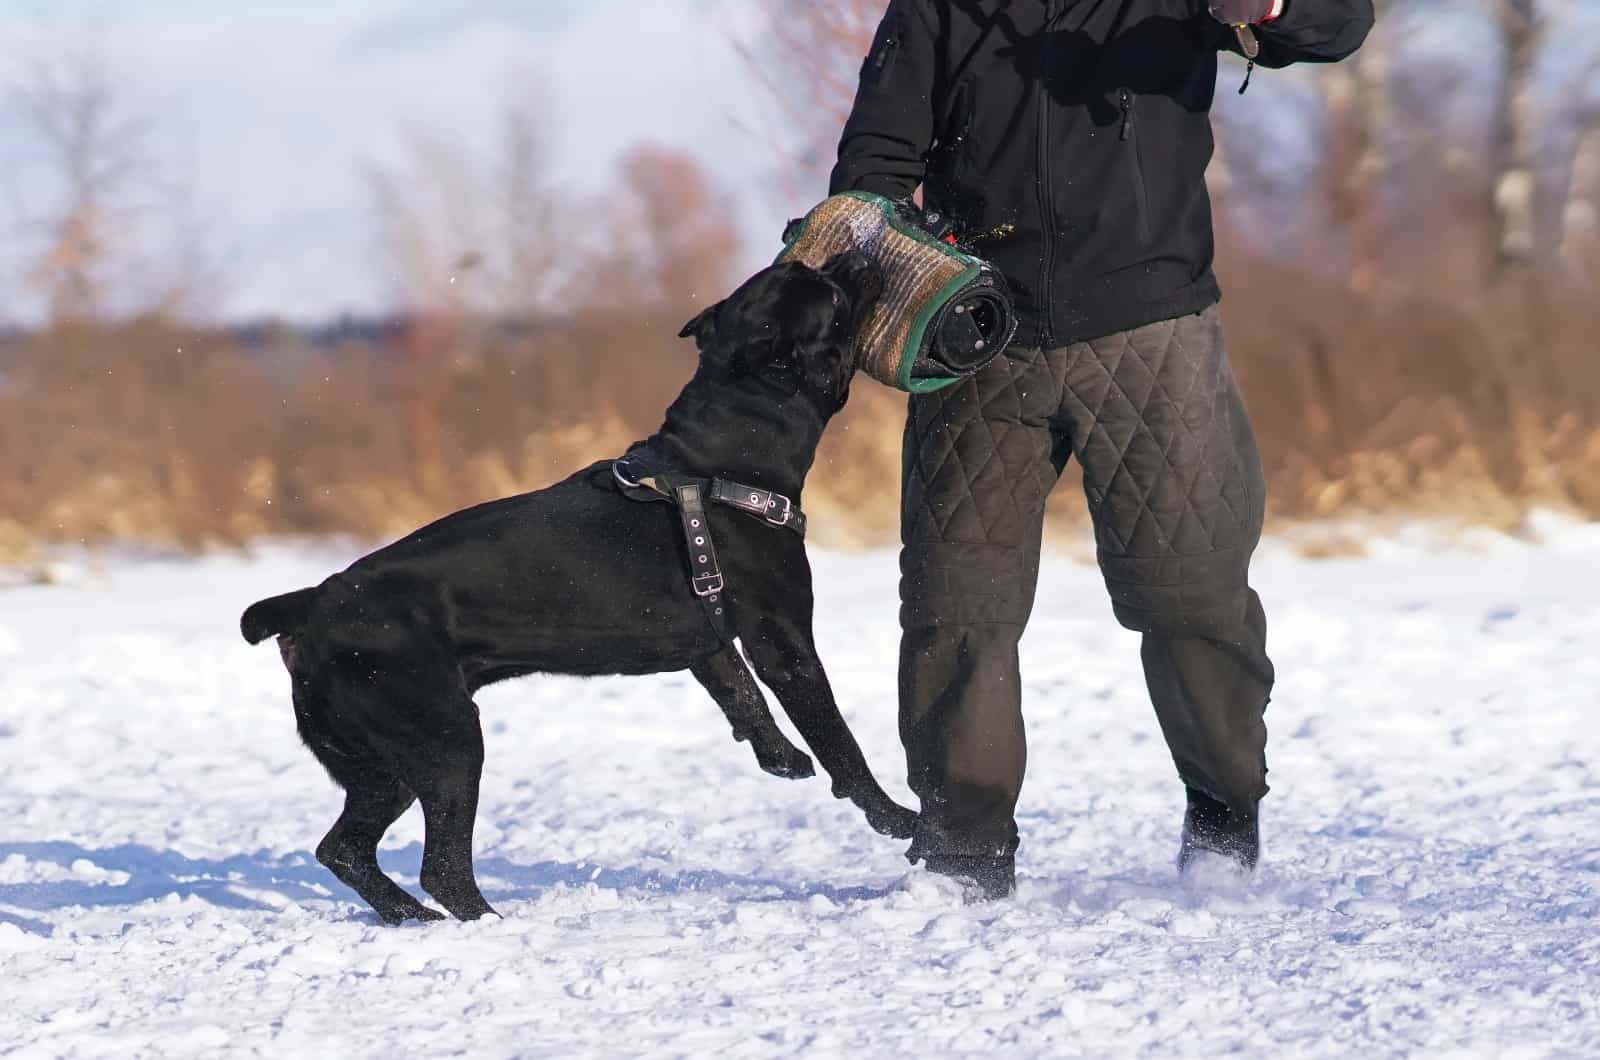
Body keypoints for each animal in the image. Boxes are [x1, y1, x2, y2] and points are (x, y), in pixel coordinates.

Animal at [236, 252, 915, 928]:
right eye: (827, 293)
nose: (852, 255)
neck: (721, 461)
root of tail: (310, 606)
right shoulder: (784, 641)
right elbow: (839, 740)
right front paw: (896, 817)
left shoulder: (711, 640)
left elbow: (741, 696)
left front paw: (781, 757)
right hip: (446, 742)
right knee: (440, 867)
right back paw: (483, 922)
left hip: (382, 766)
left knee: (344, 850)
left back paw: (413, 918)